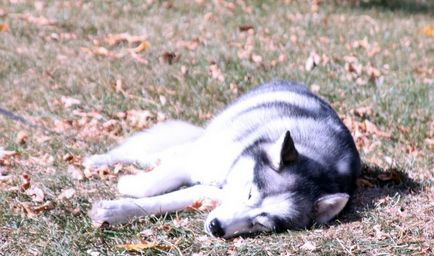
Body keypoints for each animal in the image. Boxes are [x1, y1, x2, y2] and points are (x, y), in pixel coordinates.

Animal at [84, 80, 360, 238]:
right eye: (250, 193)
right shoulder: (206, 162)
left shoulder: (213, 193)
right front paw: (129, 186)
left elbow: (168, 199)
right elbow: (153, 185)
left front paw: (114, 211)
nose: (216, 227)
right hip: (214, 136)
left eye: (260, 223)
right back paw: (99, 160)